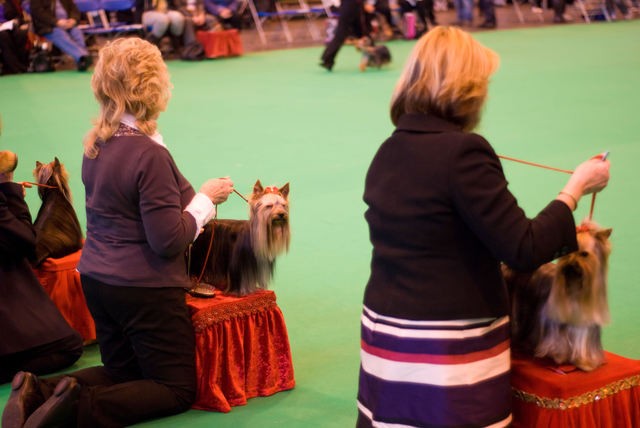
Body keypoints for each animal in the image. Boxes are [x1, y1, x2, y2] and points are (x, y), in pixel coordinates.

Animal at [502, 221, 612, 372]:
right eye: (567, 253)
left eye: (584, 254)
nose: (571, 265)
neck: (575, 288)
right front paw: (560, 357)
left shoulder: (585, 327)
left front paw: (585, 363)